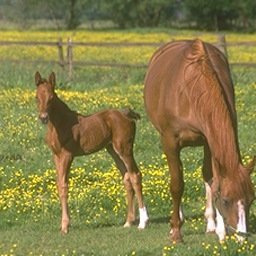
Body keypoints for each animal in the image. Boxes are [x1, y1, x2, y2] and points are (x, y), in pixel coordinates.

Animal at [35, 71, 149, 233]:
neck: (61, 123)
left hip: (124, 149)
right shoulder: (56, 156)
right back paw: (128, 221)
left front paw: (65, 226)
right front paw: (63, 224)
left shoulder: (67, 156)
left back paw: (143, 222)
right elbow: (59, 184)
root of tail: (126, 114)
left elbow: (64, 186)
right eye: (36, 97)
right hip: (113, 151)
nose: (44, 118)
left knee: (135, 175)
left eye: (51, 98)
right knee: (127, 177)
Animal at [144, 38, 254, 242]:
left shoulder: (209, 141)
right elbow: (176, 184)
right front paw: (176, 232)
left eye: (252, 199)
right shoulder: (170, 142)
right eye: (226, 200)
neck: (191, 90)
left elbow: (212, 177)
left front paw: (219, 229)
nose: (242, 236)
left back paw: (211, 224)